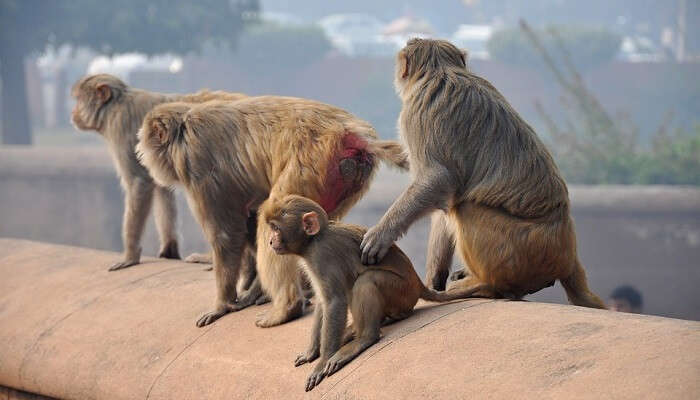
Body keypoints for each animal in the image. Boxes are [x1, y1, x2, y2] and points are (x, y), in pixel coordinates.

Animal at [72, 73, 247, 270]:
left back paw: (211, 257)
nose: (73, 113)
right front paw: (169, 250)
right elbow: (162, 188)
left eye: (79, 99)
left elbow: (139, 183)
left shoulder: (120, 127)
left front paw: (130, 256)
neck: (115, 106)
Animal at [135, 97, 410, 328]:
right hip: (345, 178)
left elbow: (227, 234)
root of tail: (352, 132)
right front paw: (249, 288)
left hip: (310, 163)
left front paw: (222, 305)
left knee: (273, 216)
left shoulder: (197, 165)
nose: (140, 151)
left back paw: (287, 308)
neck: (184, 129)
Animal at [262, 195, 486, 392]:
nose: (271, 242)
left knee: (366, 280)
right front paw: (311, 352)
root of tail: (417, 283)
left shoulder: (321, 255)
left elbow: (334, 301)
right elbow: (323, 302)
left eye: (276, 228)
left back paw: (364, 338)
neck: (313, 240)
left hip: (401, 291)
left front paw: (322, 361)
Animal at [360, 39, 608, 310]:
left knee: (464, 207)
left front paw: (381, 235)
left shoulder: (416, 113)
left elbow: (437, 180)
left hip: (520, 252)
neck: (441, 69)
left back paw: (488, 286)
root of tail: (567, 256)